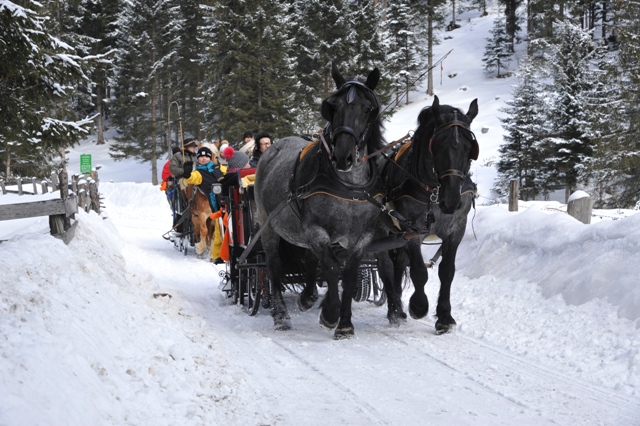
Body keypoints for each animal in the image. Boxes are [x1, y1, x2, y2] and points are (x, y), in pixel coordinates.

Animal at [254, 62, 384, 340]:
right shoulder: (316, 230)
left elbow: (348, 275)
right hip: (268, 225)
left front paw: (345, 324)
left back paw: (308, 296)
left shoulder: (362, 237)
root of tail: (275, 146)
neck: (349, 186)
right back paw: (281, 316)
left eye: (368, 109)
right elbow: (333, 268)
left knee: (310, 259)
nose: (343, 156)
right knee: (274, 266)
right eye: (332, 106)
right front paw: (330, 315)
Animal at [376, 96, 480, 336]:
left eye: (469, 148)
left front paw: (444, 317)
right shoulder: (412, 231)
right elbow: (418, 271)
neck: (433, 190)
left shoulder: (456, 230)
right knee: (386, 266)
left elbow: (447, 271)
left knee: (398, 264)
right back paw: (394, 309)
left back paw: (398, 309)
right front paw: (418, 306)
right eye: (438, 144)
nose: (451, 201)